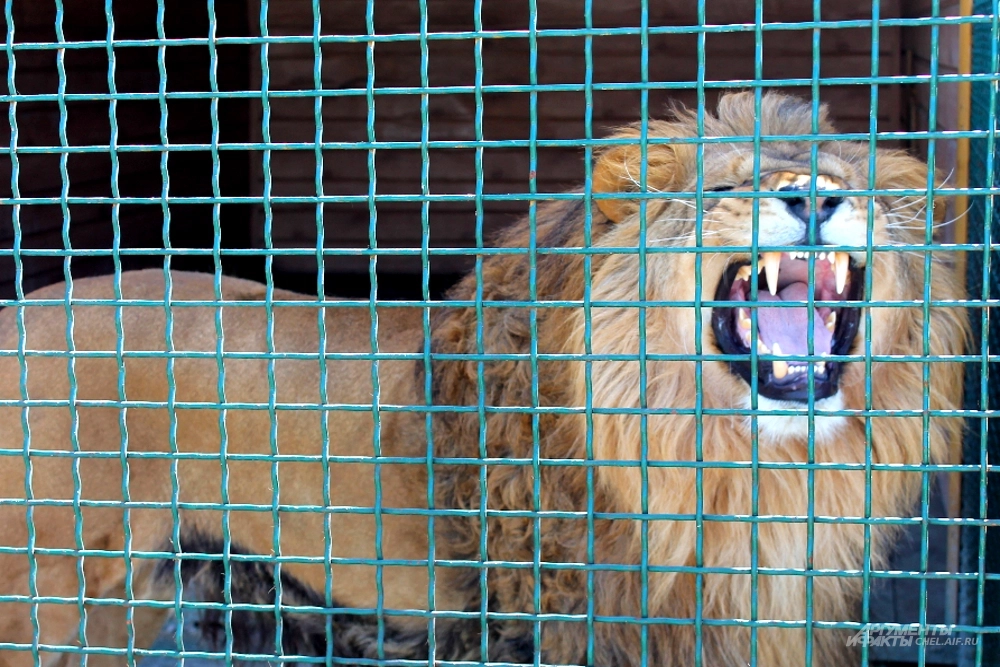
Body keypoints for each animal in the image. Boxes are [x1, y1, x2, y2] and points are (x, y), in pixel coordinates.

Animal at [0, 92, 967, 667]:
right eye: (728, 183)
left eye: (844, 179)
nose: (816, 197)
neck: (743, 465)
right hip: (36, 594)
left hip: (113, 603)